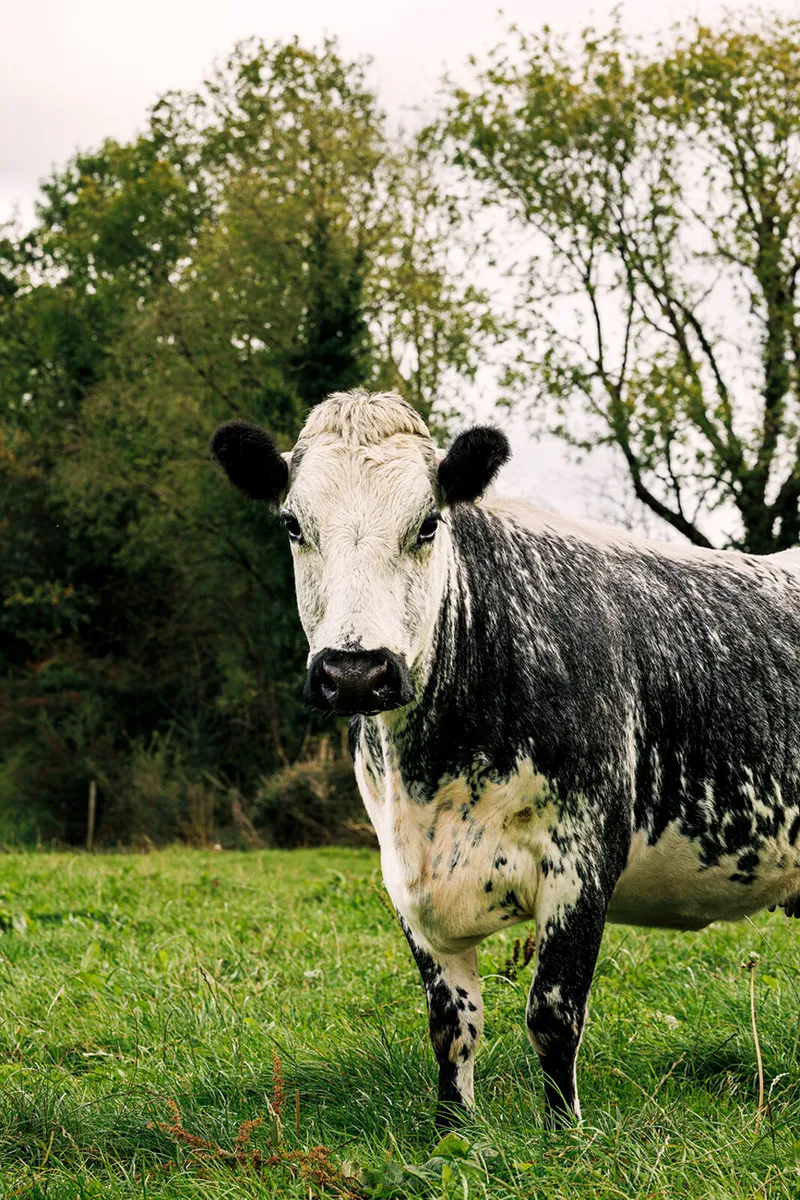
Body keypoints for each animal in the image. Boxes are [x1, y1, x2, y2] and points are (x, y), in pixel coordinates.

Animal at [210, 388, 800, 1129]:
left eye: (428, 524)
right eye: (293, 524)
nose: (355, 672)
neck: (433, 779)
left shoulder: (582, 862)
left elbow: (552, 1014)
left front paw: (563, 1134)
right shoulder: (407, 878)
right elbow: (451, 1025)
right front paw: (451, 1130)